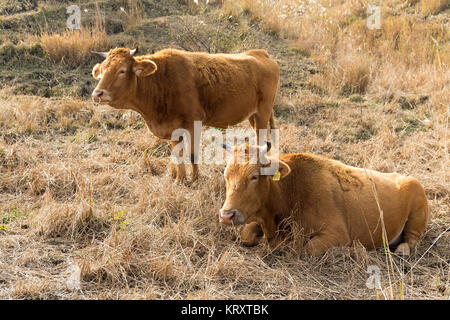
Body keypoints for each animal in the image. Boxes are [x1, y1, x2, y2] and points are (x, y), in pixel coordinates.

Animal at [91, 47, 280, 182]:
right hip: (253, 116)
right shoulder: (173, 128)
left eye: (122, 70)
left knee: (262, 139)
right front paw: (179, 180)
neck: (162, 82)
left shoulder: (193, 123)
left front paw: (195, 180)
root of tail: (260, 53)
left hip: (263, 113)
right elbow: (178, 155)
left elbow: (192, 154)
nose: (97, 93)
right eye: (102, 70)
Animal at [220, 144, 430, 256]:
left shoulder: (338, 234)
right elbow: (246, 234)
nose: (227, 215)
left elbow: (307, 248)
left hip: (416, 212)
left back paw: (402, 251)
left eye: (254, 176)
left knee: (412, 239)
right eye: (226, 175)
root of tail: (407, 178)